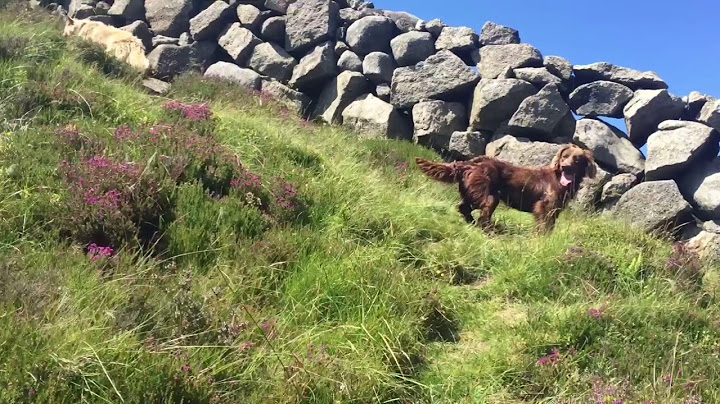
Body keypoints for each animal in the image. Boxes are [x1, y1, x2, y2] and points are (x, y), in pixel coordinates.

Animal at [416, 146, 596, 234]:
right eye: (564, 157)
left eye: (577, 159)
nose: (565, 166)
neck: (559, 178)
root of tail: (469, 163)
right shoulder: (544, 206)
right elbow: (543, 226)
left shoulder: (555, 210)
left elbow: (550, 226)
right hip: (489, 196)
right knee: (482, 217)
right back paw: (489, 231)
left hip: (473, 193)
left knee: (463, 208)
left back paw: (472, 224)